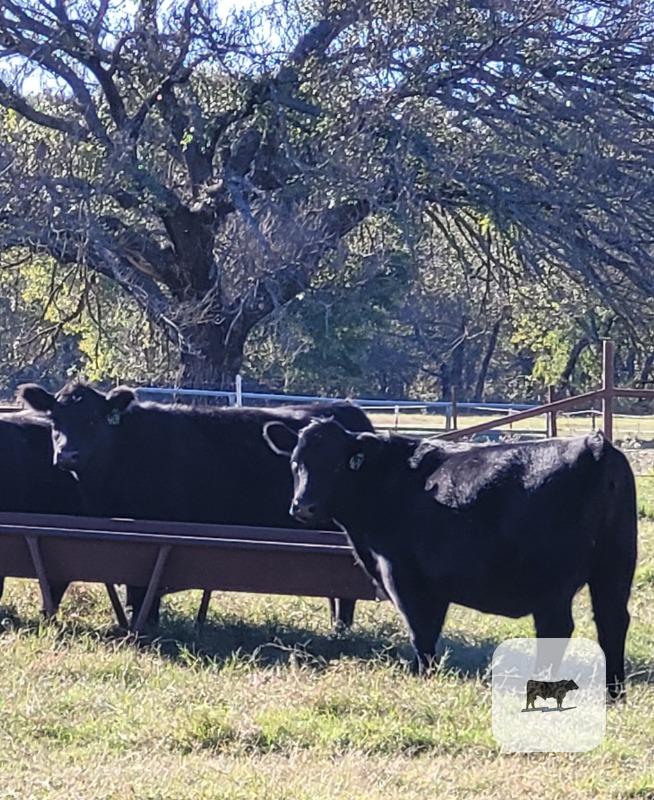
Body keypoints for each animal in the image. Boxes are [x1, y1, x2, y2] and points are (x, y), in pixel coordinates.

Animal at [17, 382, 374, 627]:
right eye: (54, 420)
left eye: (93, 420)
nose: (67, 455)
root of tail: (348, 410)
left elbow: (142, 593)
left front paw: (145, 628)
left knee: (347, 593)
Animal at [262, 419, 637, 699]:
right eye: (296, 462)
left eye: (338, 465)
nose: (303, 506)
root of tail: (595, 445)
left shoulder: (404, 576)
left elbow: (422, 631)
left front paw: (423, 677)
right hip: (615, 565)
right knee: (612, 621)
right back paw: (613, 692)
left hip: (552, 579)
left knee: (556, 628)